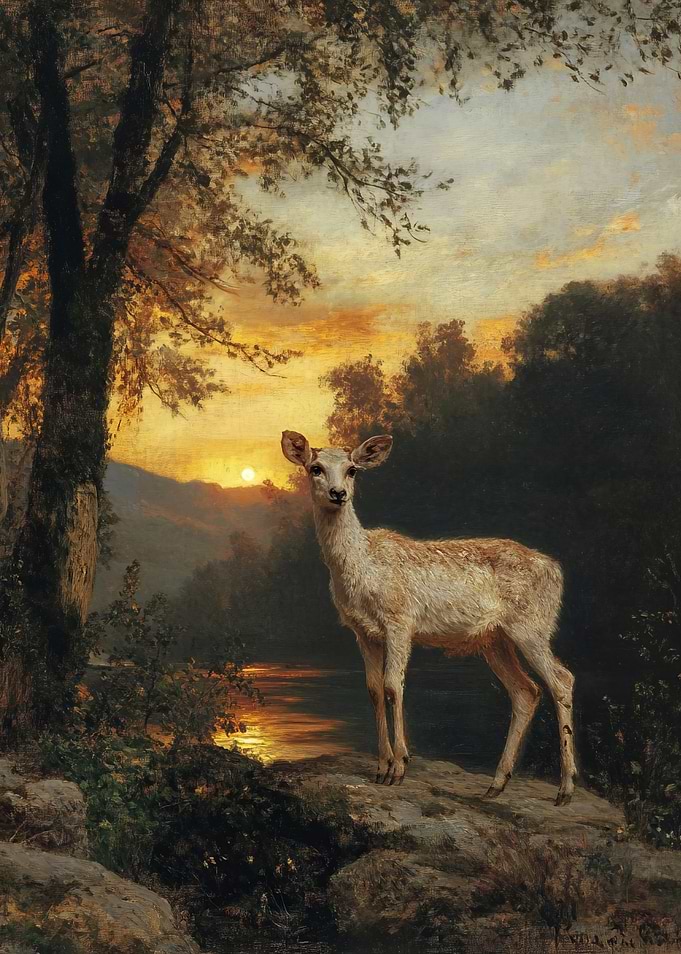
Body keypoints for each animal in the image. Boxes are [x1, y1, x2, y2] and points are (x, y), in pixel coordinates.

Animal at [281, 430, 578, 806]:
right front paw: (380, 767)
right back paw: (496, 784)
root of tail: (555, 569)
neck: (363, 569)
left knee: (562, 679)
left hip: (532, 625)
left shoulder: (400, 620)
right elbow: (373, 689)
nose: (338, 493)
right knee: (526, 691)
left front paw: (399, 768)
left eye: (352, 470)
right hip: (495, 639)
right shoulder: (362, 631)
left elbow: (393, 686)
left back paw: (565, 788)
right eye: (315, 468)